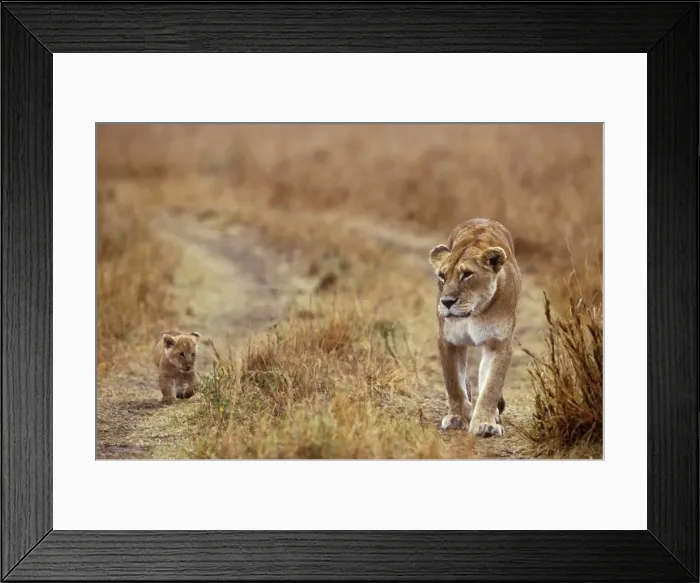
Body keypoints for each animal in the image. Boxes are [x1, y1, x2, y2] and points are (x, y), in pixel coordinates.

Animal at [428, 218, 521, 437]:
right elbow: (453, 382)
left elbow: (491, 386)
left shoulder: (499, 344)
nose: (447, 302)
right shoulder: (448, 340)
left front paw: (485, 424)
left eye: (467, 275)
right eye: (442, 276)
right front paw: (457, 417)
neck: (473, 312)